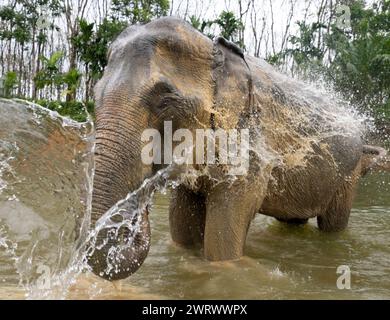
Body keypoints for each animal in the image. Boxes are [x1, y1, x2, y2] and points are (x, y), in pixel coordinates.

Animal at [87, 16, 388, 280]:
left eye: (164, 100)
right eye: (95, 95)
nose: (130, 227)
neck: (213, 47)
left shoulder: (252, 150)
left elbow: (221, 244)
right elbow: (182, 228)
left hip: (347, 176)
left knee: (333, 224)